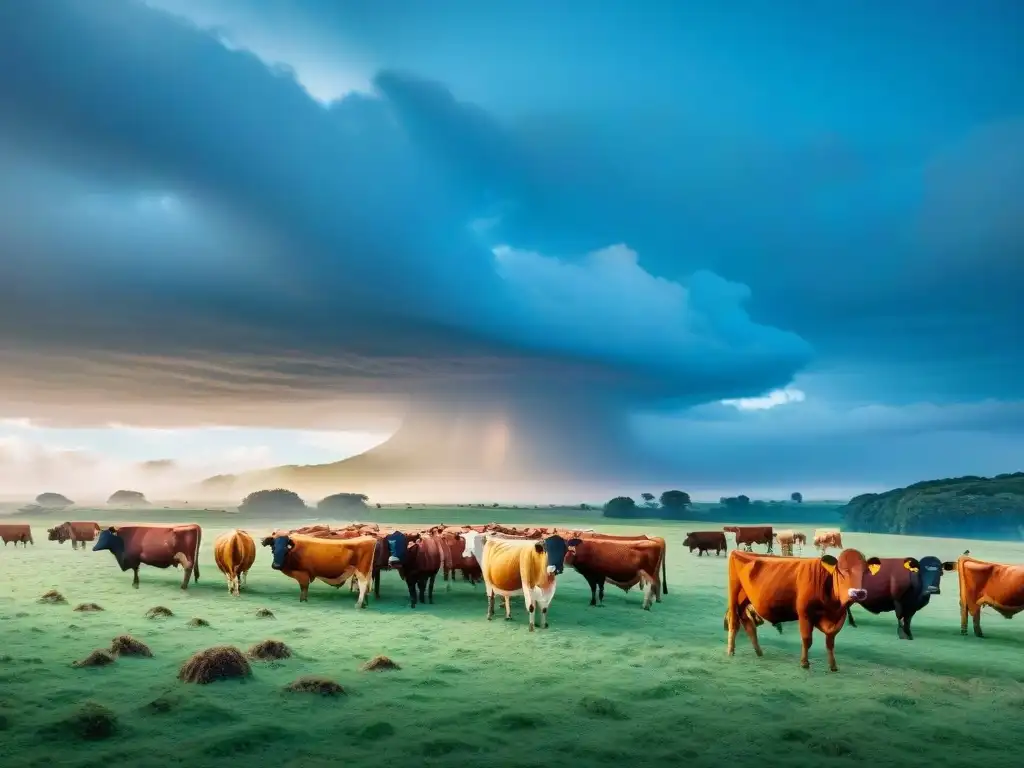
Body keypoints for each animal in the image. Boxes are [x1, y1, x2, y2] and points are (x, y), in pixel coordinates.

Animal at [724, 548, 884, 671]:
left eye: (865, 572)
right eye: (842, 571)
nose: (858, 593)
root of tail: (739, 552)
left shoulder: (837, 619)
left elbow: (830, 642)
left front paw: (833, 666)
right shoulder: (804, 613)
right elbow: (807, 639)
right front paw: (804, 663)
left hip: (744, 600)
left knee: (748, 624)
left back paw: (759, 652)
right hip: (734, 594)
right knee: (734, 622)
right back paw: (730, 652)